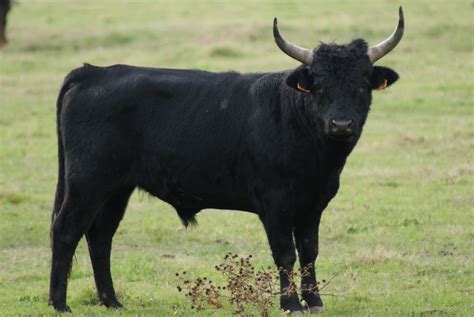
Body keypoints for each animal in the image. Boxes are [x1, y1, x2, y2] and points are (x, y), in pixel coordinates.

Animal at [48, 8, 404, 314]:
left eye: (362, 84)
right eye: (318, 86)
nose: (341, 125)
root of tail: (93, 72)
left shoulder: (313, 205)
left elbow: (309, 252)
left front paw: (314, 301)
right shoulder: (275, 204)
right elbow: (285, 253)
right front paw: (290, 304)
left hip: (115, 189)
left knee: (100, 237)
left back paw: (111, 301)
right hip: (87, 183)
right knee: (66, 231)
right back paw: (60, 304)